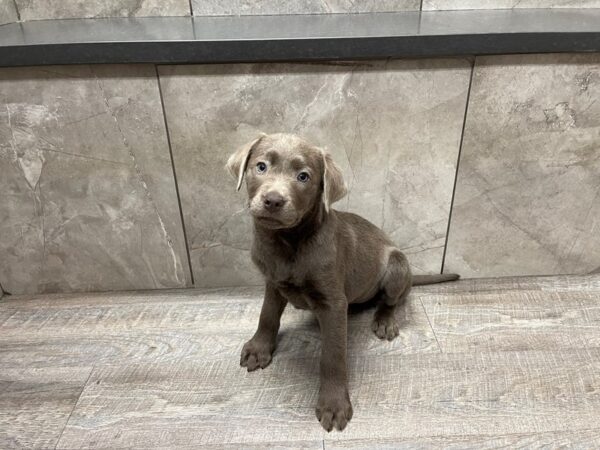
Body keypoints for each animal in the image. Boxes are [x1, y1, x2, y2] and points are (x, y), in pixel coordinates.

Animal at [226, 134, 460, 432]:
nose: (273, 200)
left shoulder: (333, 302)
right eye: (261, 166)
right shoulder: (273, 281)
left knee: (391, 301)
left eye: (303, 177)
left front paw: (333, 404)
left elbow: (333, 355)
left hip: (396, 266)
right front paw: (258, 349)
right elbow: (266, 315)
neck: (288, 242)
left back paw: (384, 321)